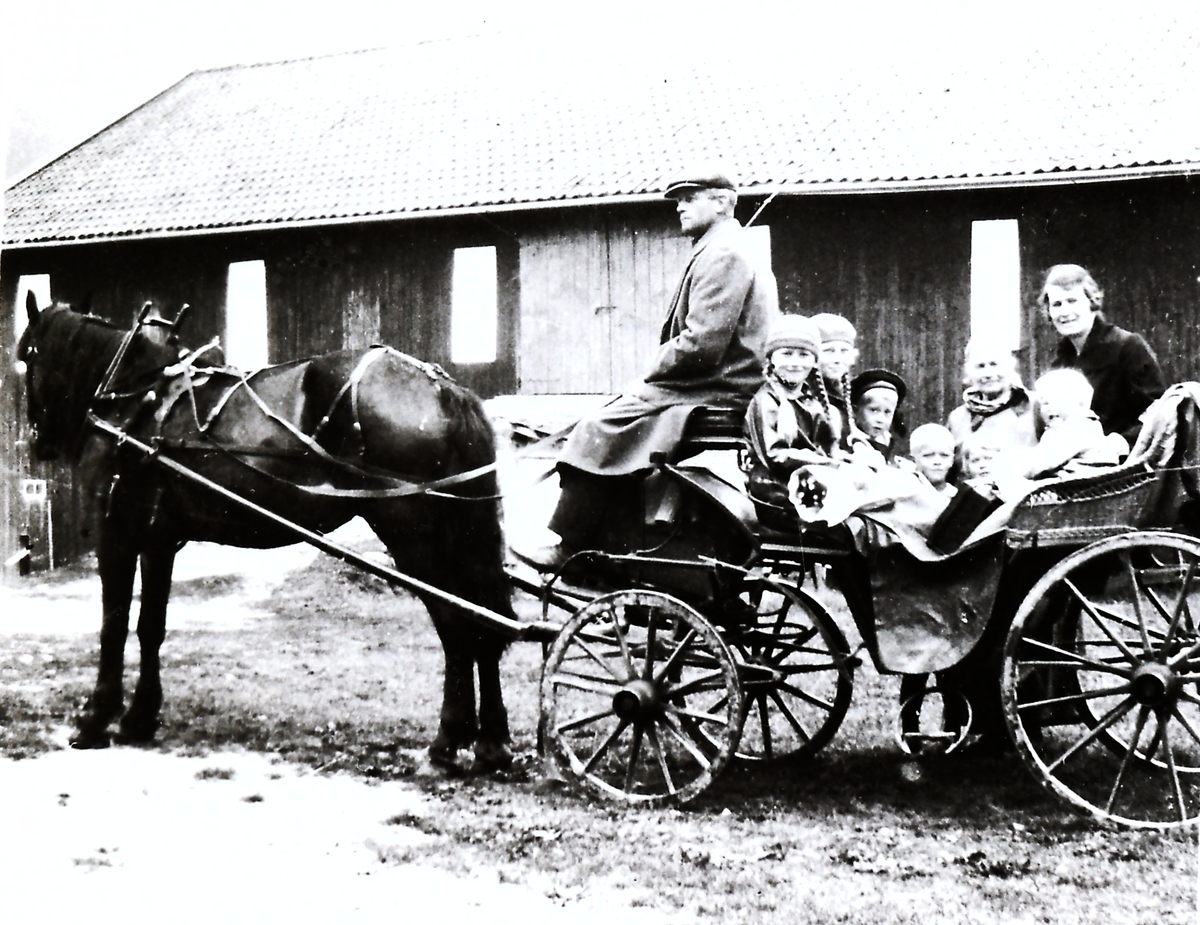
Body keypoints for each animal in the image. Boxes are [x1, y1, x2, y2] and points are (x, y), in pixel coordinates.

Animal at [17, 295, 516, 767]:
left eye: (26, 356)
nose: (39, 441)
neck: (133, 398)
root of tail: (440, 387)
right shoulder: (159, 541)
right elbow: (149, 628)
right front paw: (140, 716)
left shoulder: (116, 533)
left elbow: (113, 627)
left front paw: (95, 719)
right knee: (481, 625)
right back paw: (491, 741)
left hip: (414, 538)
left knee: (457, 625)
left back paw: (451, 737)